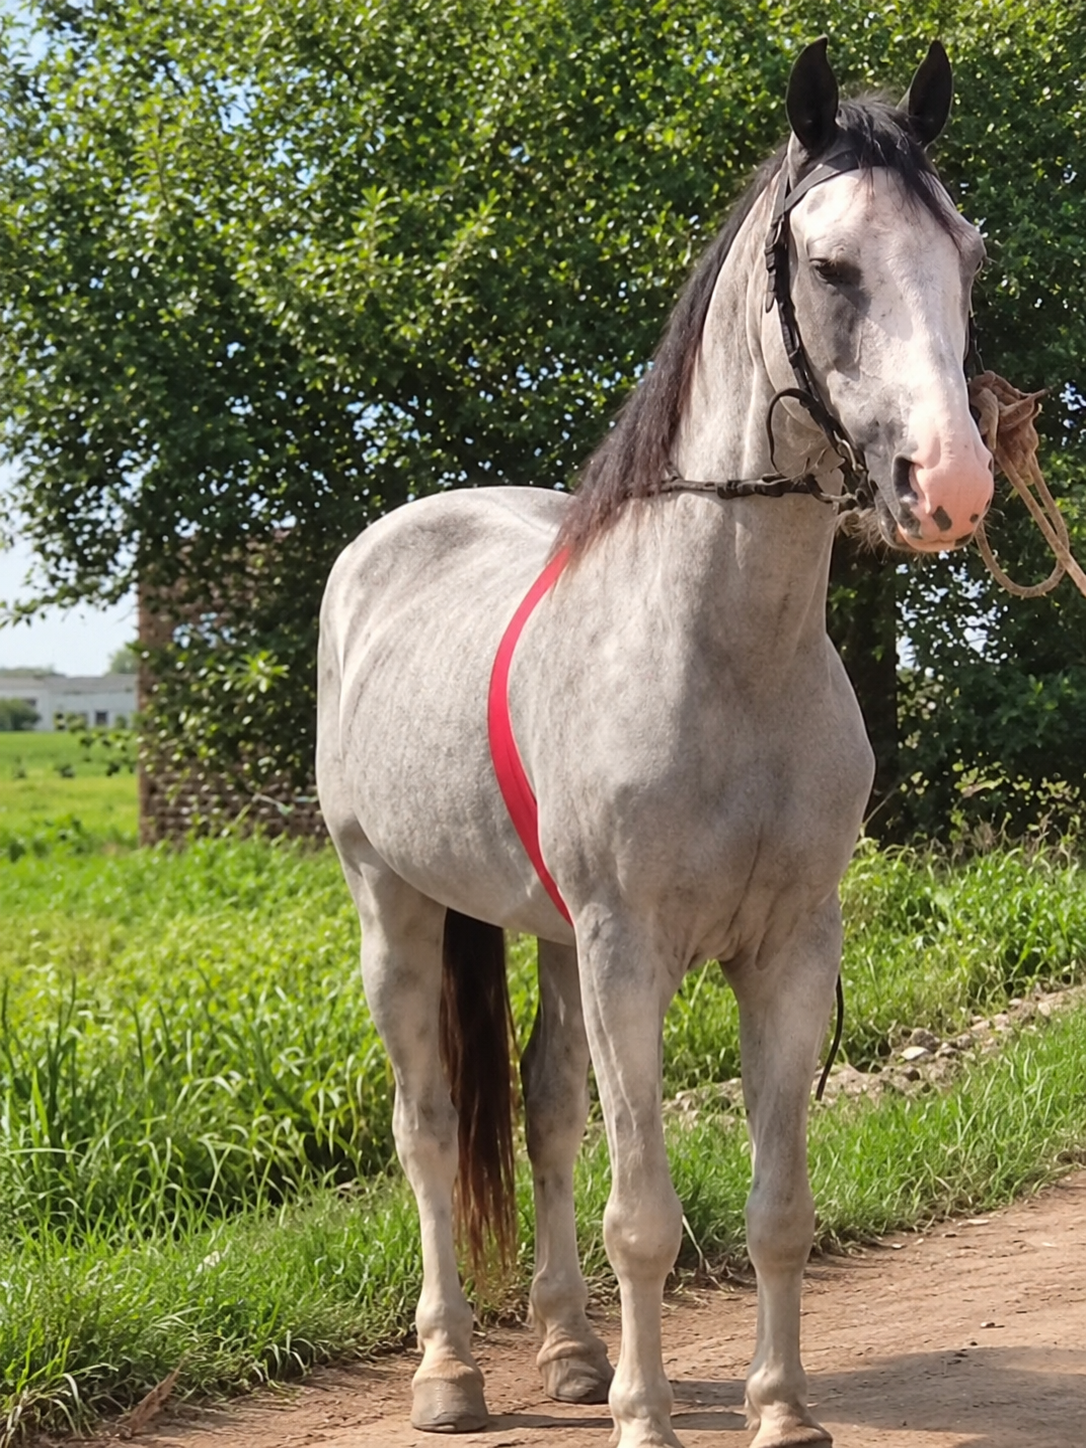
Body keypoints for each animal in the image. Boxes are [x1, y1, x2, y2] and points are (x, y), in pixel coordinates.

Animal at [316, 38, 993, 1448]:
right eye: (832, 266)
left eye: (968, 254)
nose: (949, 485)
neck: (722, 657)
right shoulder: (630, 954)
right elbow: (646, 1215)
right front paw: (647, 1413)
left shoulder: (787, 951)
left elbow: (776, 1208)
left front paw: (779, 1407)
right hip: (392, 902)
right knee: (427, 1127)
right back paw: (450, 1372)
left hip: (550, 937)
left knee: (547, 1115)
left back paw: (571, 1350)